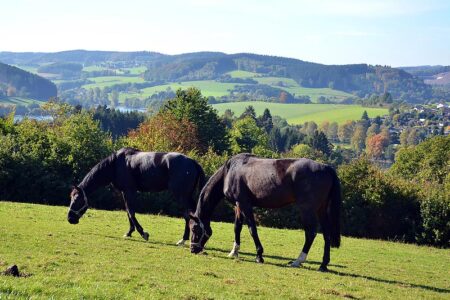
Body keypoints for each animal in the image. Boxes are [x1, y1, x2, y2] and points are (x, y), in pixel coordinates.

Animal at [67, 146, 206, 245]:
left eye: (78, 200)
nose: (70, 219)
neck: (115, 164)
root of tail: (193, 162)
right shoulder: (125, 192)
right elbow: (128, 212)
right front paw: (129, 232)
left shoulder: (130, 191)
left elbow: (131, 211)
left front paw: (143, 233)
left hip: (181, 196)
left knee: (188, 215)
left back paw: (183, 240)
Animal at [190, 154, 342, 270]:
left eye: (194, 229)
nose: (193, 249)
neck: (229, 172)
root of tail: (327, 168)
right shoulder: (238, 206)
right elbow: (237, 227)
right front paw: (234, 252)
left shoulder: (244, 204)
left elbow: (252, 229)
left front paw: (259, 256)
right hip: (321, 209)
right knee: (326, 233)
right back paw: (323, 265)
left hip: (307, 209)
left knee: (310, 233)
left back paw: (298, 261)